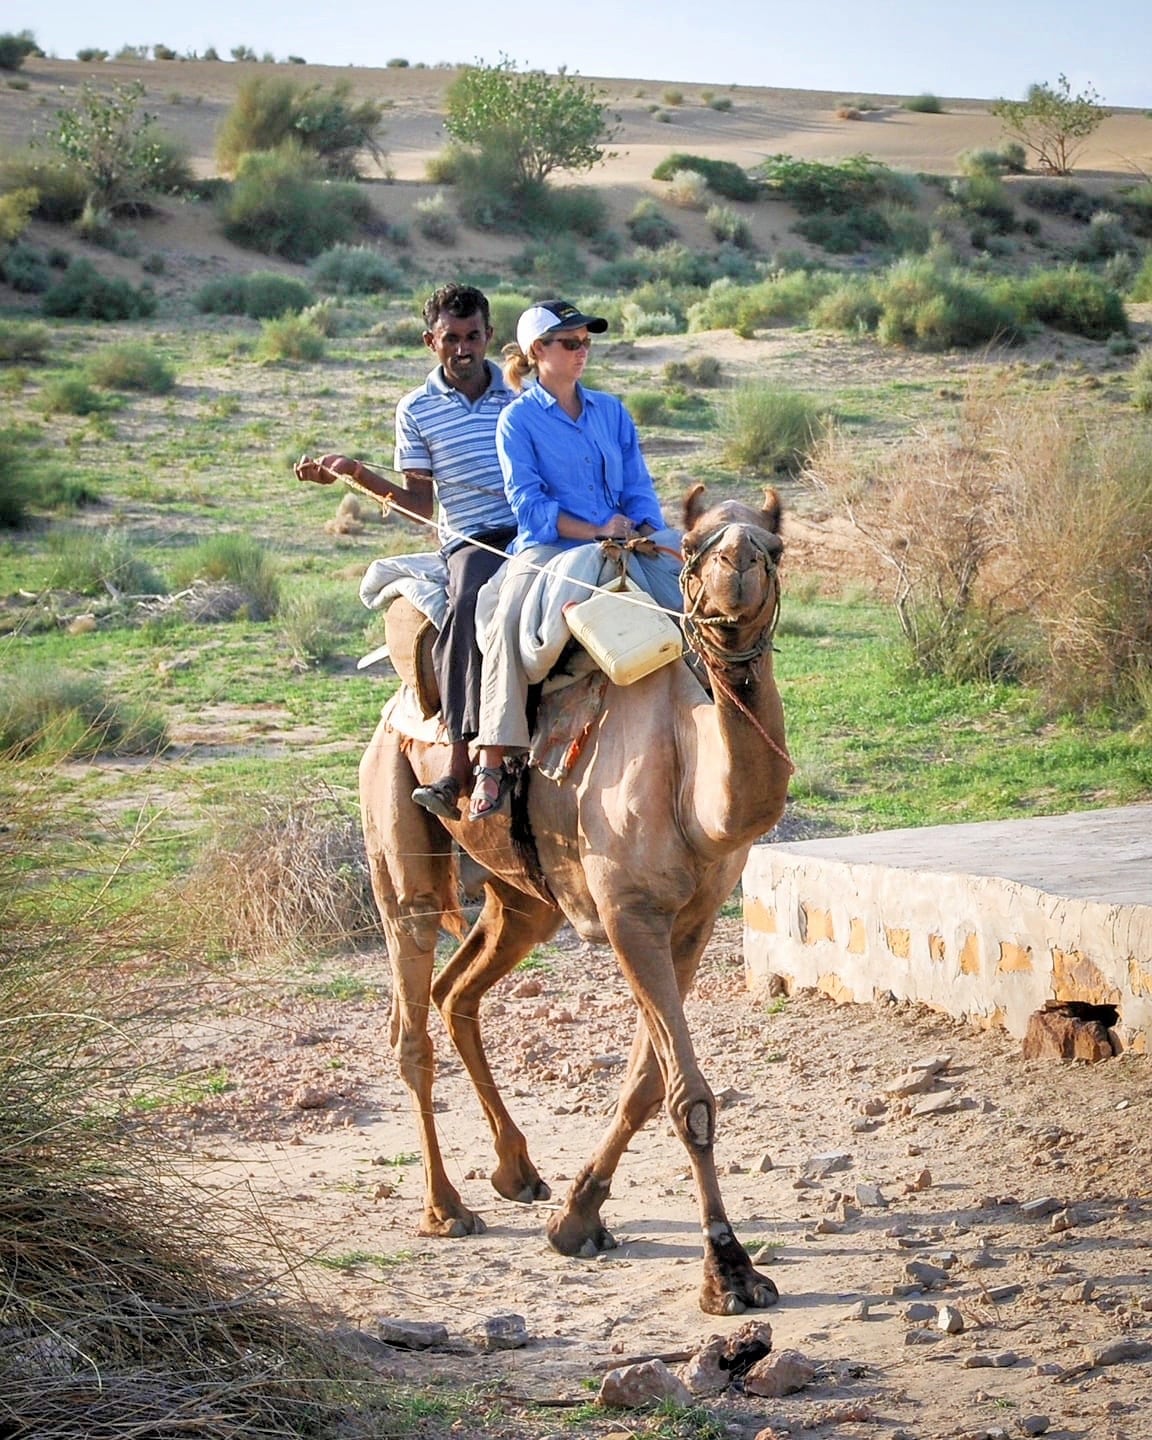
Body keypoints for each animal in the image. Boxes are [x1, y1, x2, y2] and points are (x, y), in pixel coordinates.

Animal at [360, 486, 794, 1319]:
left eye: (776, 544)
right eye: (695, 542)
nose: (735, 567)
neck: (694, 783)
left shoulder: (692, 921)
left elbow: (649, 1082)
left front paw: (578, 1217)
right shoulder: (630, 916)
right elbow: (688, 1098)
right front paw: (728, 1272)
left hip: (524, 898)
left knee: (457, 989)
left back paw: (518, 1171)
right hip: (397, 839)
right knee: (410, 1015)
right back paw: (446, 1208)